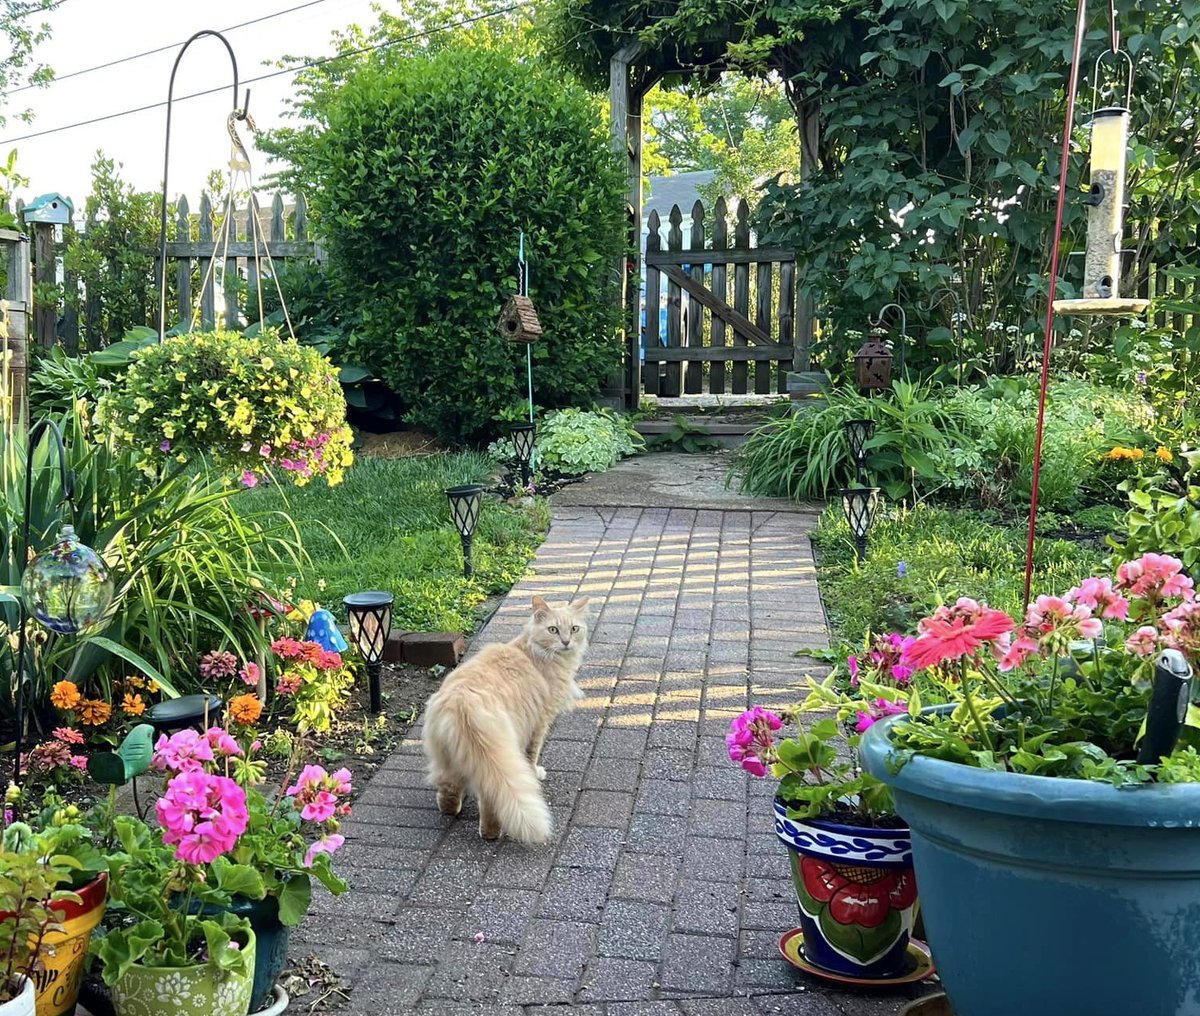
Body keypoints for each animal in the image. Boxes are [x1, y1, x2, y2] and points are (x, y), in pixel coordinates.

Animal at [422, 594, 590, 844]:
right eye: (553, 630)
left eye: (574, 629)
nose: (567, 642)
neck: (534, 652)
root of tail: (463, 703)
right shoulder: (540, 722)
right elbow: (532, 755)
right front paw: (534, 773)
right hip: (497, 757)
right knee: (490, 799)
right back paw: (491, 834)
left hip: (445, 757)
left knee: (448, 788)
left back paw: (451, 809)